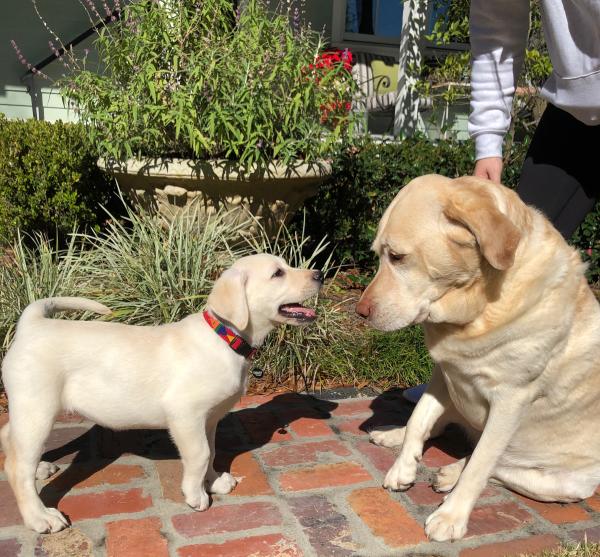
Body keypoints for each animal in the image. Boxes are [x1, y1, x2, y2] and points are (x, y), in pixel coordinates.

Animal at [1, 254, 324, 532]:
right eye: (278, 273)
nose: (320, 274)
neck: (224, 338)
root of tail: (32, 324)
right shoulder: (185, 414)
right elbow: (200, 454)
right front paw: (196, 495)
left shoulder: (209, 419)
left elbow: (211, 451)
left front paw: (213, 481)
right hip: (38, 410)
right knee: (17, 467)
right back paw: (40, 517)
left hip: (29, 409)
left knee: (9, 438)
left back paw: (41, 469)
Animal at [356, 174, 600, 540]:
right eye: (379, 255)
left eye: (397, 257)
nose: (359, 312)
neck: (477, 306)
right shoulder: (445, 373)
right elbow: (419, 420)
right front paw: (403, 466)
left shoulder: (510, 401)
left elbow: (482, 464)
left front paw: (451, 517)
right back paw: (392, 436)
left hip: (561, 483)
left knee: (498, 465)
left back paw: (449, 475)